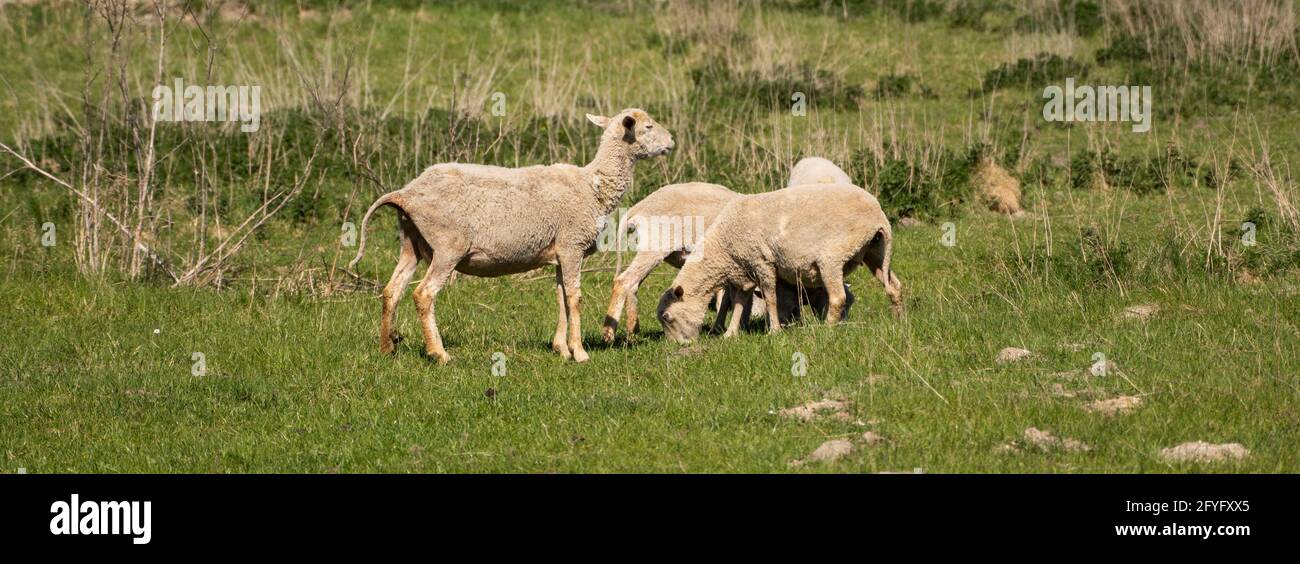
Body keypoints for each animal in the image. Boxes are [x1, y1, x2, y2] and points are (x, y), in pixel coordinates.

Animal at [353, 108, 676, 363]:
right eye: (648, 127)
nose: (672, 141)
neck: (593, 186)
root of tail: (406, 193)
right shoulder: (572, 245)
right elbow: (575, 299)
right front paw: (580, 352)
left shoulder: (559, 252)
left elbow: (560, 298)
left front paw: (561, 349)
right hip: (447, 246)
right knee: (424, 294)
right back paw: (439, 353)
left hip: (413, 243)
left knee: (392, 291)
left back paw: (387, 348)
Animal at [655, 183, 899, 345]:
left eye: (667, 317)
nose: (676, 346)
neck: (723, 247)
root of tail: (878, 214)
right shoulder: (745, 273)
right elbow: (739, 304)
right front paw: (730, 334)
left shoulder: (762, 263)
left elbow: (770, 298)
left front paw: (774, 331)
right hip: (875, 251)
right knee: (894, 286)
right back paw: (899, 316)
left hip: (832, 257)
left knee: (838, 297)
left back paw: (828, 328)